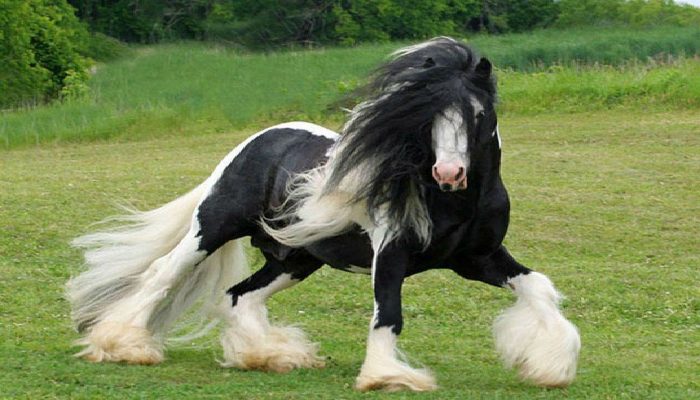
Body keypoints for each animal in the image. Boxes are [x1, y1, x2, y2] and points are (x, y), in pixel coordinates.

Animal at [67, 37, 580, 392]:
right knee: (161, 275)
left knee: (239, 296)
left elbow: (538, 286)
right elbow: (389, 315)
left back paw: (270, 355)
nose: (449, 172)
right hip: (212, 227)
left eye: (476, 114)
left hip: (296, 258)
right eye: (426, 116)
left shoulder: (479, 259)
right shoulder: (391, 255)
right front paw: (386, 377)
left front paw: (551, 365)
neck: (456, 203)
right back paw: (124, 346)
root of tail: (258, 140)